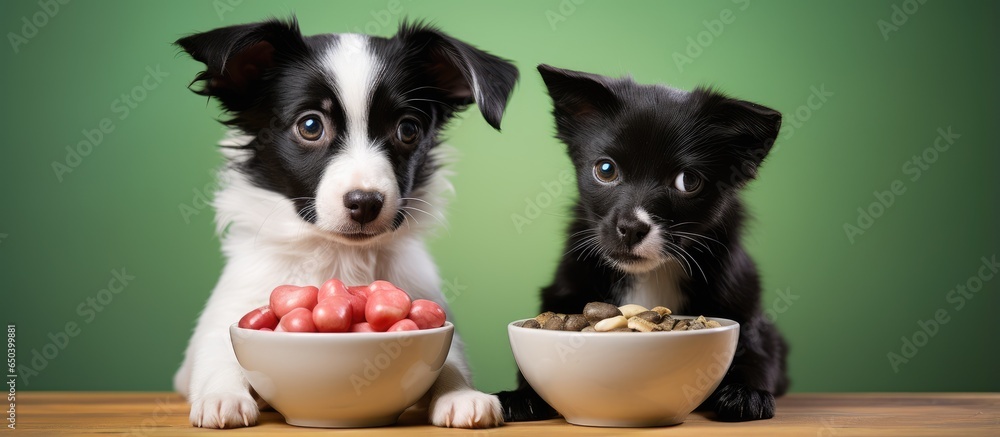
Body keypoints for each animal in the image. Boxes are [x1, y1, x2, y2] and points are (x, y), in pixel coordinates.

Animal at [171, 17, 516, 430]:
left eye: (408, 130)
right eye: (310, 125)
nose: (365, 202)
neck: (338, 256)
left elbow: (448, 361)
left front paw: (460, 394)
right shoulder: (228, 312)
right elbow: (218, 354)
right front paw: (222, 395)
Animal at [500, 65, 788, 422]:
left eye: (688, 181)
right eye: (605, 169)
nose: (631, 228)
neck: (652, 274)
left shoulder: (754, 319)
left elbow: (759, 354)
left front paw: (747, 393)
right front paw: (523, 396)